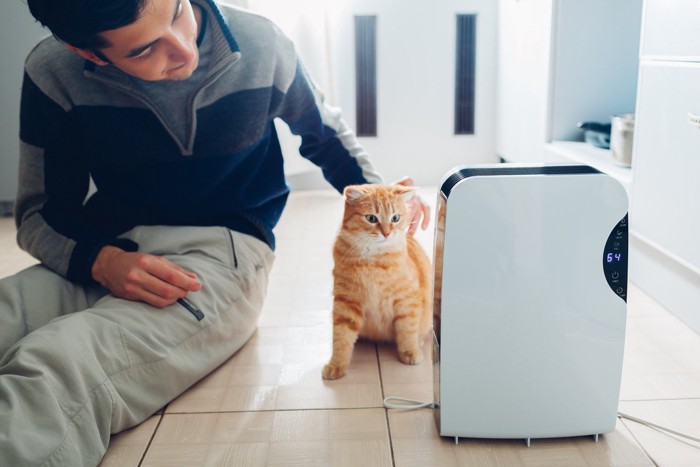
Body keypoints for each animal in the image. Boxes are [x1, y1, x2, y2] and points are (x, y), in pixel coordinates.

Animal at [322, 183, 432, 380]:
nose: (386, 233)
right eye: (371, 218)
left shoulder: (407, 301)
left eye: (395, 218)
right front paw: (337, 364)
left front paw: (410, 352)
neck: (374, 262)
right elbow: (341, 338)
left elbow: (407, 330)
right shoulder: (346, 303)